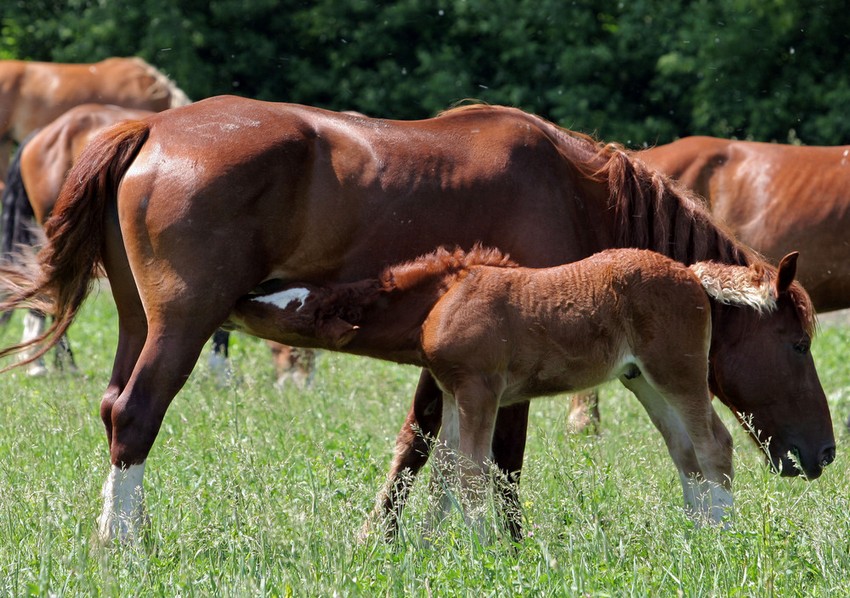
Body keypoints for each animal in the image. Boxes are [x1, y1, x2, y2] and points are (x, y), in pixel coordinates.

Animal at [0, 99, 836, 548]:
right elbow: (499, 457)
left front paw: (391, 538)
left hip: (136, 323)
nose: (824, 452)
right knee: (136, 416)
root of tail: (149, 130)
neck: (573, 191)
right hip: (181, 324)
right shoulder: (507, 365)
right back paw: (125, 542)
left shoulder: (455, 360)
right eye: (797, 344)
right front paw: (507, 543)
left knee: (114, 407)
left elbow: (420, 445)